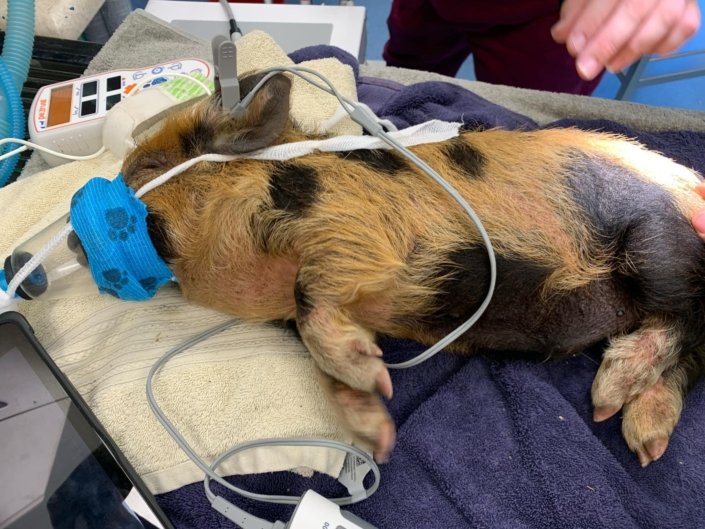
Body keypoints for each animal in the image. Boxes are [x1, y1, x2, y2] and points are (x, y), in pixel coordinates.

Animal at [121, 72, 705, 467]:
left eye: (148, 167)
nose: (89, 238)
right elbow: (321, 360)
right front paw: (376, 434)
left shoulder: (350, 232)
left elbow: (313, 300)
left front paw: (374, 385)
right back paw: (634, 428)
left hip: (657, 246)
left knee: (694, 321)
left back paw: (614, 399)